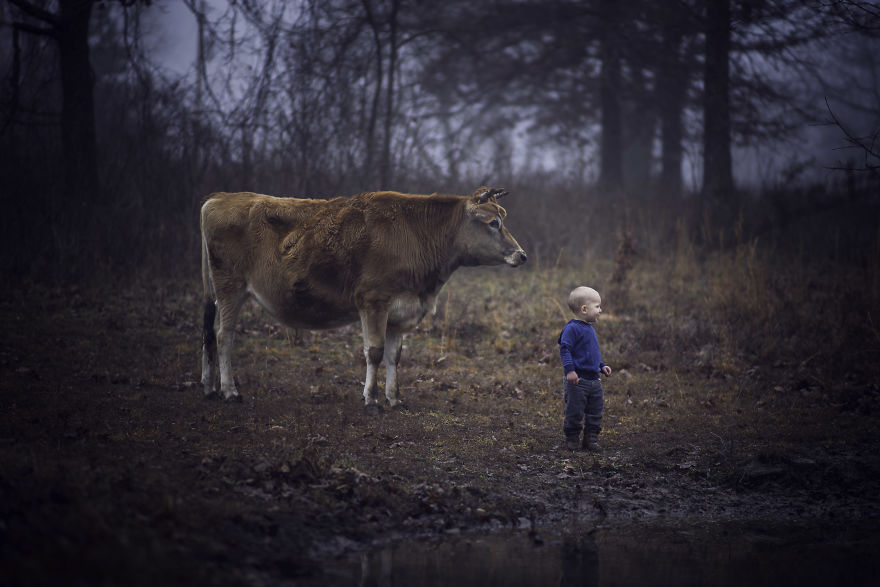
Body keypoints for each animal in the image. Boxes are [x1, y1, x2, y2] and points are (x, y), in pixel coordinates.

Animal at [200, 187, 524, 408]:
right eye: (493, 222)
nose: (521, 254)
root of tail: (220, 197)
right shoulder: (373, 301)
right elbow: (375, 351)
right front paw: (371, 398)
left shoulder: (400, 311)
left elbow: (395, 355)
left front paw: (395, 398)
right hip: (230, 287)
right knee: (224, 335)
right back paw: (230, 390)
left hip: (215, 291)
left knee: (208, 332)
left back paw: (209, 387)